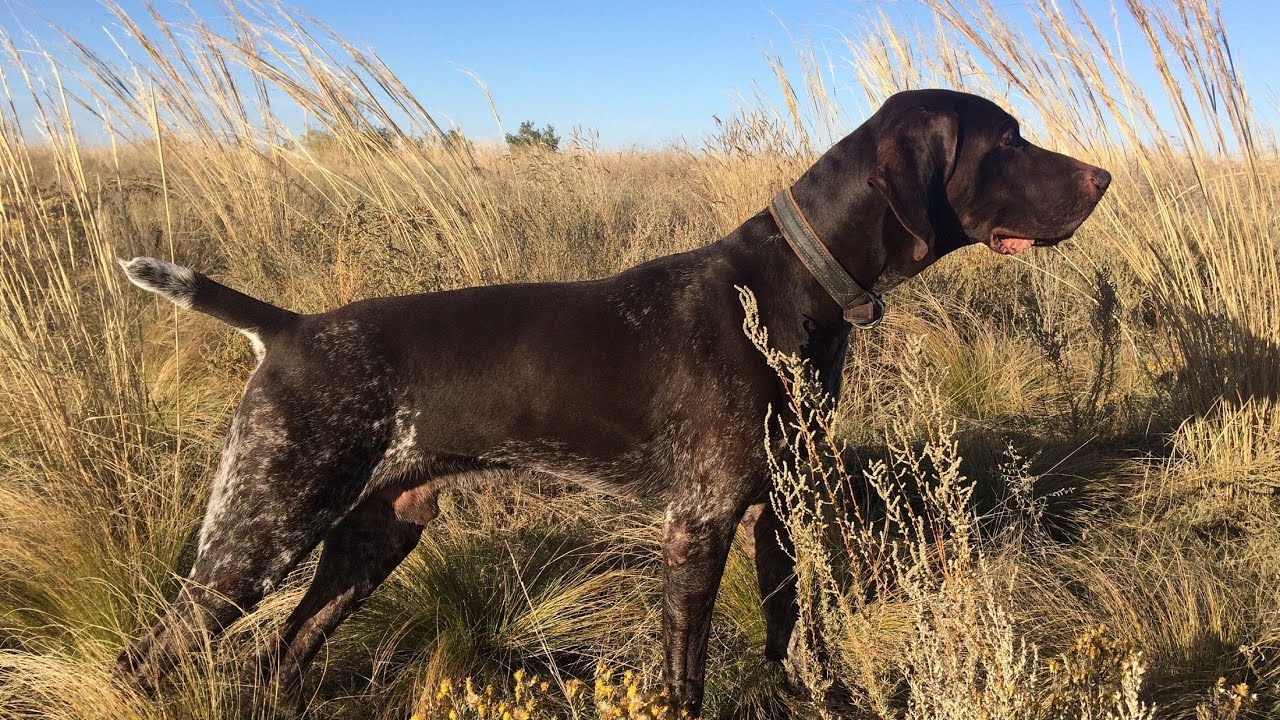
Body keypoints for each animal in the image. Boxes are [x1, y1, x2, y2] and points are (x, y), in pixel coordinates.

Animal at [112, 89, 1111, 712]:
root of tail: (288, 329)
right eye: (1007, 142)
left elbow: (792, 640)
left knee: (283, 654)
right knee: (147, 659)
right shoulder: (698, 522)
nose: (1104, 177)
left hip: (376, 532)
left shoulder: (777, 511)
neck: (794, 283)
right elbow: (685, 676)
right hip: (260, 530)